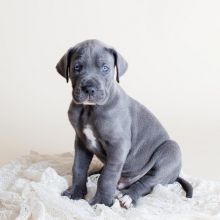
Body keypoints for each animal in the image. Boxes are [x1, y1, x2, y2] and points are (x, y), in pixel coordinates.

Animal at [55, 39, 192, 208]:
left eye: (105, 68)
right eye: (77, 68)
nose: (89, 88)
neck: (89, 109)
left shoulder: (118, 145)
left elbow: (108, 176)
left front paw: (102, 202)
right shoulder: (81, 141)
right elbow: (79, 167)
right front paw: (76, 193)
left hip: (170, 150)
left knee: (148, 183)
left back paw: (128, 197)